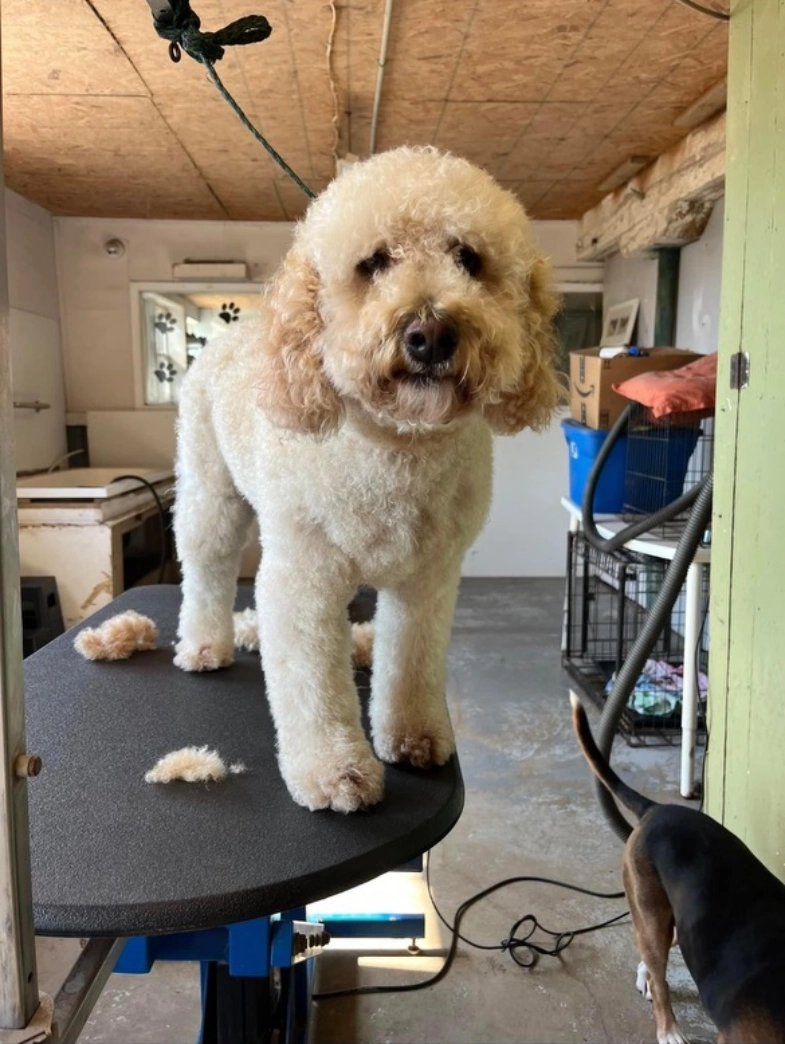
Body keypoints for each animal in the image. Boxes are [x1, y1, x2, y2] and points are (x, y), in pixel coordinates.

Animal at [174, 147, 559, 814]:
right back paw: (205, 645)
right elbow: (312, 686)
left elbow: (411, 661)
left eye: (468, 258)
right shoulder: (304, 579)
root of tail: (232, 334)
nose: (430, 333)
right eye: (373, 262)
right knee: (207, 569)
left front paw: (413, 737)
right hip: (211, 496)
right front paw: (334, 770)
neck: (396, 449)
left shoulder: (428, 579)